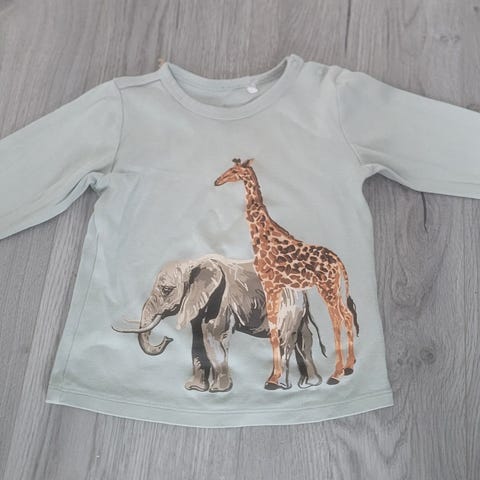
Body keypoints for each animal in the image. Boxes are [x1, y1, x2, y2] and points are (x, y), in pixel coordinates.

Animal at [112, 254, 326, 392]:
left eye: (166, 289)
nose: (168, 338)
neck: (195, 263)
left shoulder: (220, 299)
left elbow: (212, 336)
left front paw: (218, 391)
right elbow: (198, 339)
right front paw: (195, 389)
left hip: (287, 307)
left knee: (283, 340)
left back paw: (274, 386)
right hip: (297, 310)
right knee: (304, 340)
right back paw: (310, 384)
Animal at [214, 158, 359, 389]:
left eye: (234, 171)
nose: (217, 181)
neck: (264, 238)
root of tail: (338, 261)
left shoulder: (271, 285)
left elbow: (274, 329)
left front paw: (273, 378)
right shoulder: (276, 287)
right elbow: (275, 328)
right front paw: (275, 375)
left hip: (326, 288)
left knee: (336, 320)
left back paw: (336, 374)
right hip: (334, 289)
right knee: (346, 316)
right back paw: (349, 366)